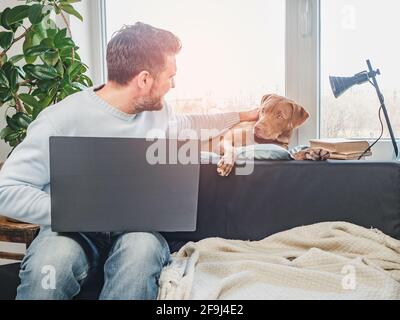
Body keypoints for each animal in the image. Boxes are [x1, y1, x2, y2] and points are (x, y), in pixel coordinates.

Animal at [202, 94, 330, 176]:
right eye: (263, 110)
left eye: (280, 116)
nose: (257, 127)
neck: (261, 140)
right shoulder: (225, 140)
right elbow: (232, 148)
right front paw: (226, 162)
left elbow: (295, 154)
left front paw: (315, 152)